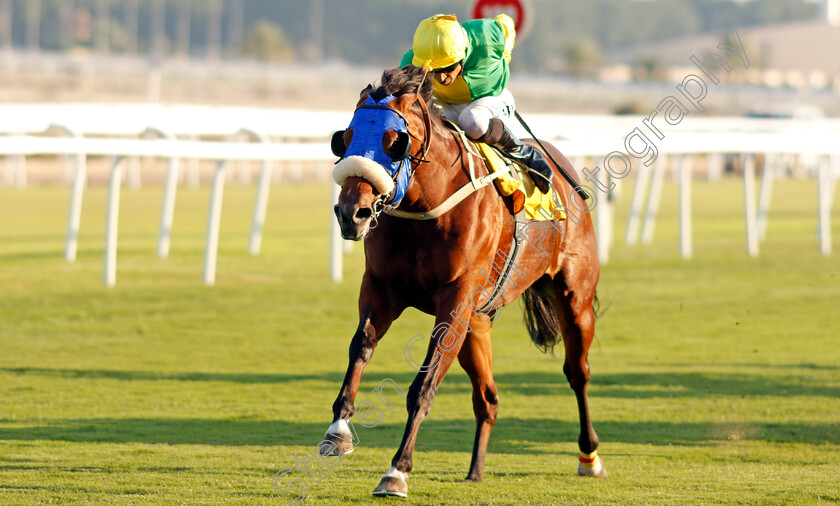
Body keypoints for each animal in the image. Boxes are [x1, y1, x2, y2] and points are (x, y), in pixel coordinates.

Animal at [326, 65, 604, 496]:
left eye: (394, 142)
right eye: (347, 138)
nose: (350, 212)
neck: (425, 208)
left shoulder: (454, 302)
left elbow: (423, 387)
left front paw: (397, 471)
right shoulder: (382, 287)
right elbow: (361, 347)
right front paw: (338, 432)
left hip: (575, 297)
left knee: (578, 372)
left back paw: (589, 457)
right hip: (476, 322)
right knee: (487, 397)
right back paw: (475, 469)